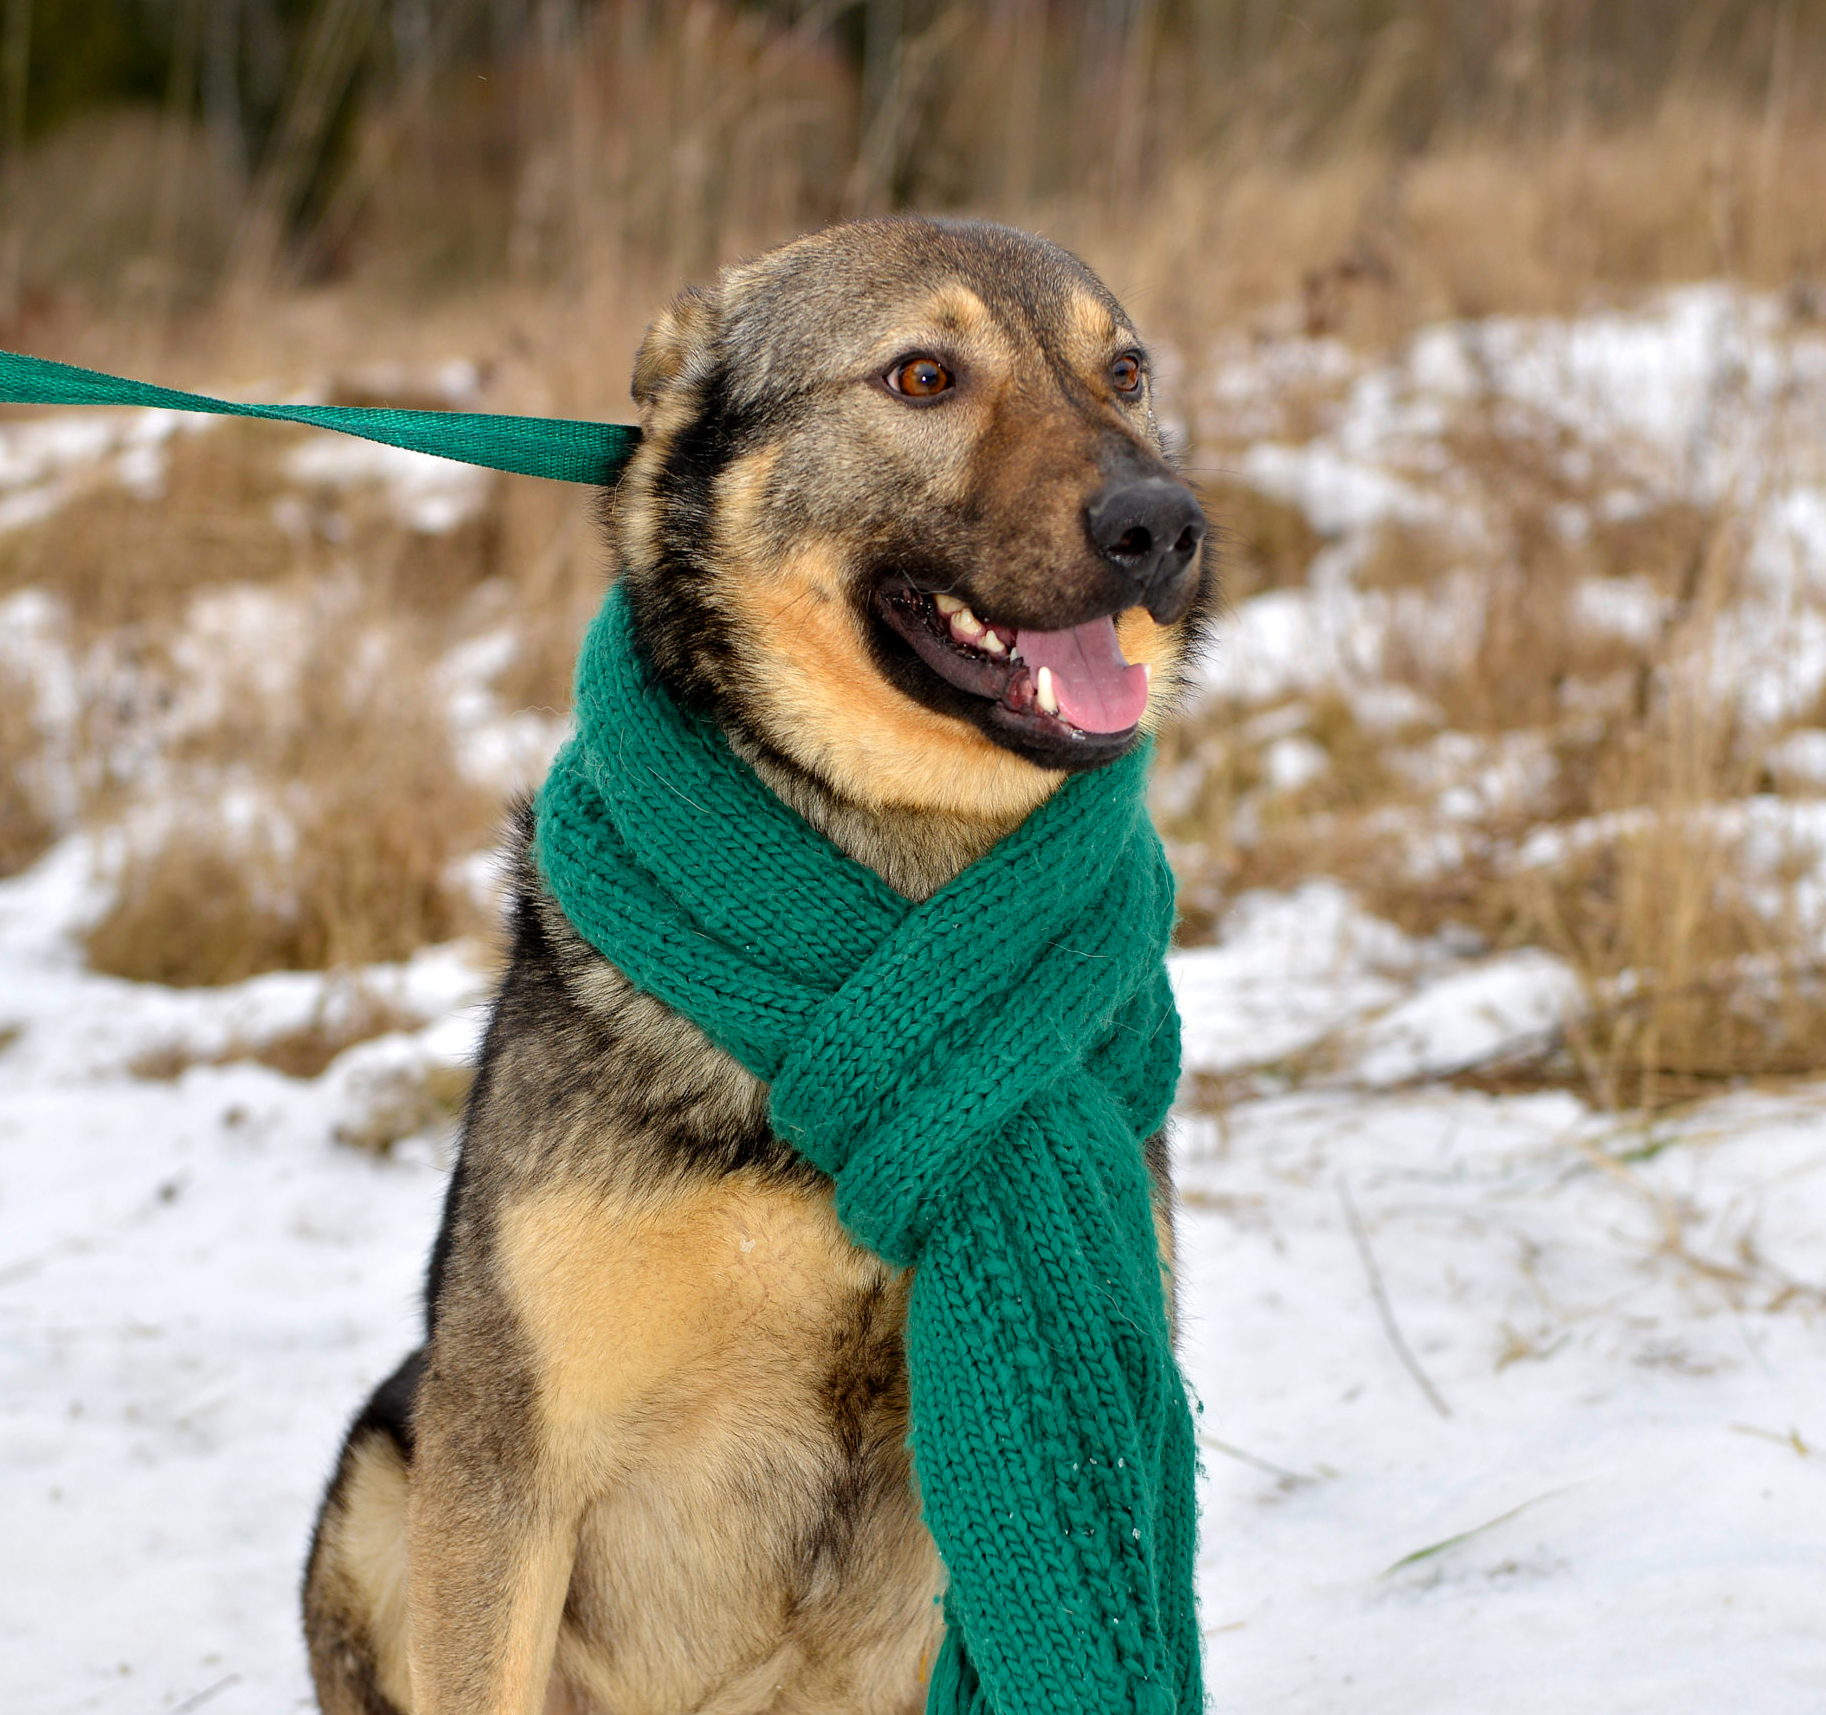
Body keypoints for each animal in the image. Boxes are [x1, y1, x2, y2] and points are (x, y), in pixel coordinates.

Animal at [303, 214, 1212, 1715]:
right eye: (920, 375)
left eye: (1126, 371)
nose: (1165, 525)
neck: (889, 892)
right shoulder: (501, 1467)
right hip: (383, 1466)